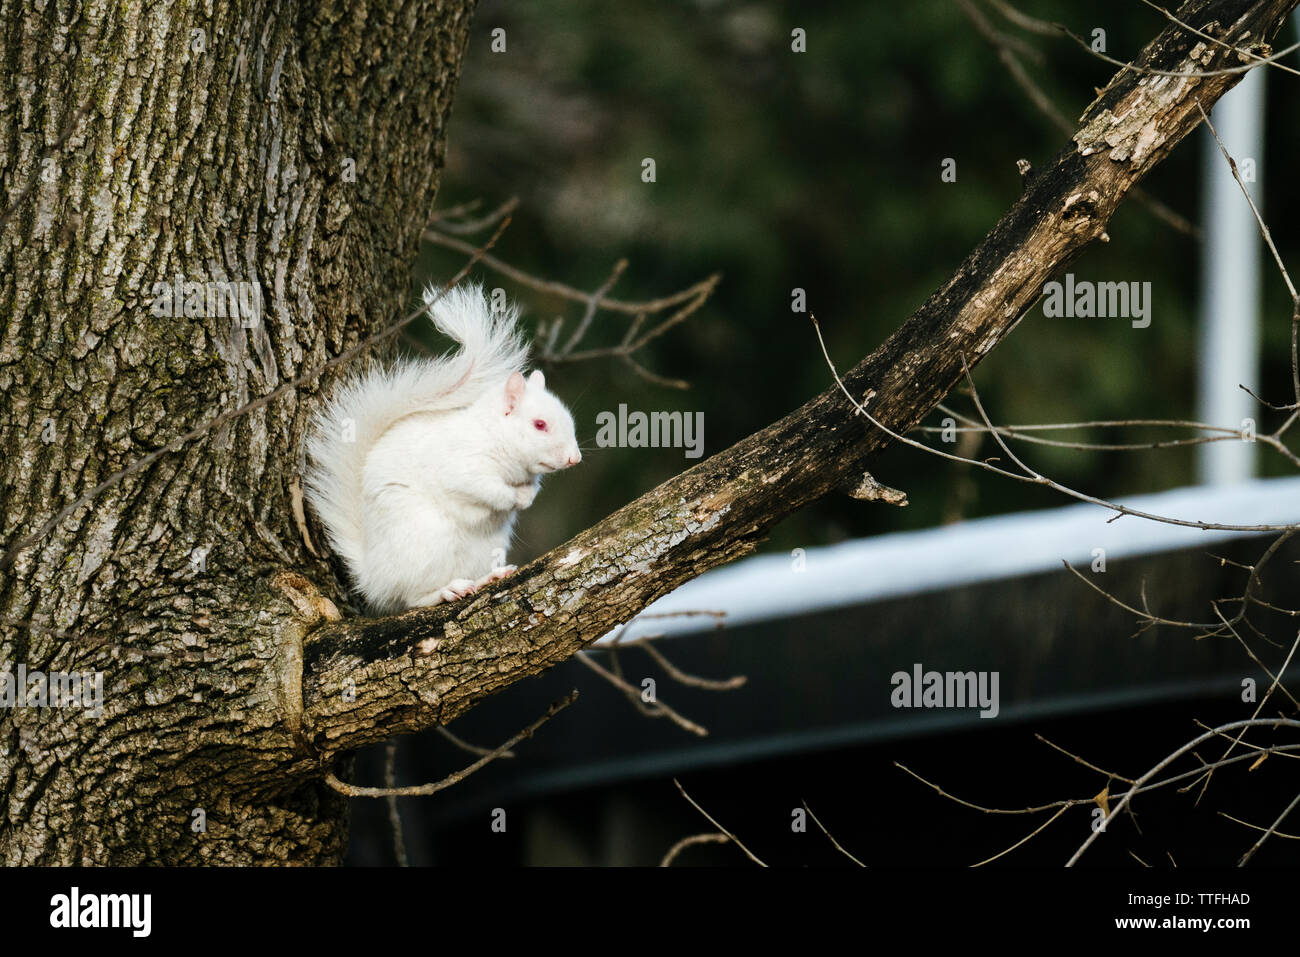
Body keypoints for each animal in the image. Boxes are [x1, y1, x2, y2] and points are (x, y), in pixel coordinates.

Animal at [304, 282, 579, 613]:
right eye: (539, 425)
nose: (574, 458)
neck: (493, 436)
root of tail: (374, 578)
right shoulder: (462, 465)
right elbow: (483, 488)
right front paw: (512, 497)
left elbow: (530, 488)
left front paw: (526, 496)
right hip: (426, 540)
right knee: (412, 597)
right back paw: (447, 591)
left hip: (484, 549)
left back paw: (487, 577)